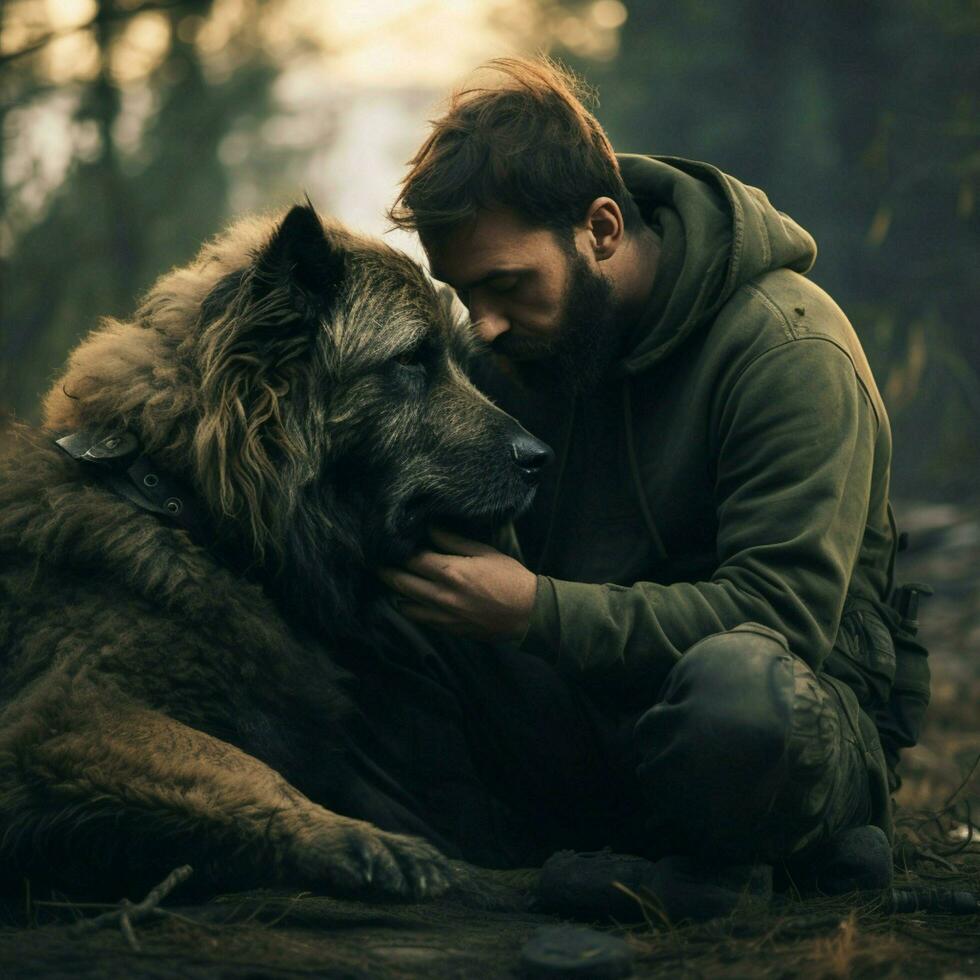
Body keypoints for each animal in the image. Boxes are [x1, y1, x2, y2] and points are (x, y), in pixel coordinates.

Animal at [0, 203, 552, 900]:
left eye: (456, 361)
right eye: (411, 362)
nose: (541, 459)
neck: (186, 510)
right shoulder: (66, 713)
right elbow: (241, 770)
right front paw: (376, 849)